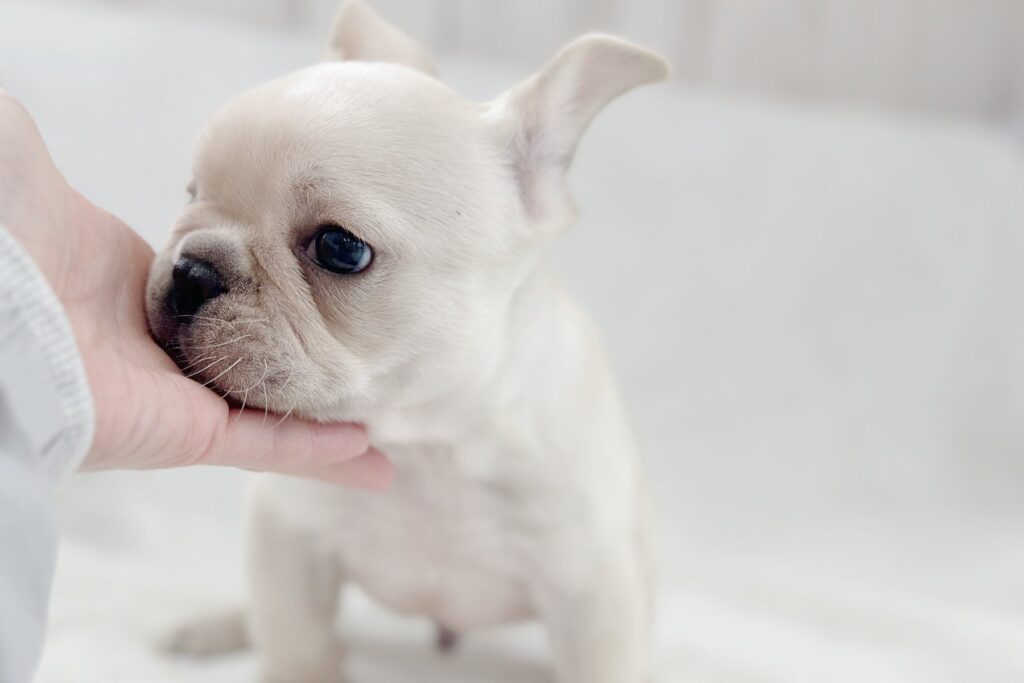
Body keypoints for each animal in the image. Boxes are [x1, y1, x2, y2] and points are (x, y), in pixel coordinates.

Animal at [145, 2, 668, 681]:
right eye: (190, 194)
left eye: (341, 248)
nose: (190, 271)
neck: (427, 444)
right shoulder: (289, 537)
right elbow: (296, 637)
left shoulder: (592, 592)